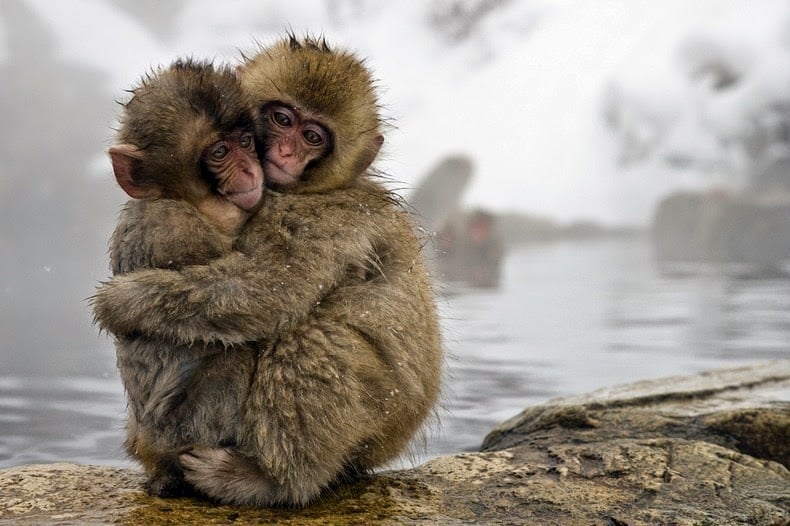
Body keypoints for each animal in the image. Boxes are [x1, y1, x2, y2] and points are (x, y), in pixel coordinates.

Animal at [93, 35, 446, 510]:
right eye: (282, 119)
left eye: (312, 137)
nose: (284, 153)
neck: (317, 188)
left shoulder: (317, 217)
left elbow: (270, 289)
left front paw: (121, 300)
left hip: (382, 418)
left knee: (311, 339)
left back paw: (274, 482)